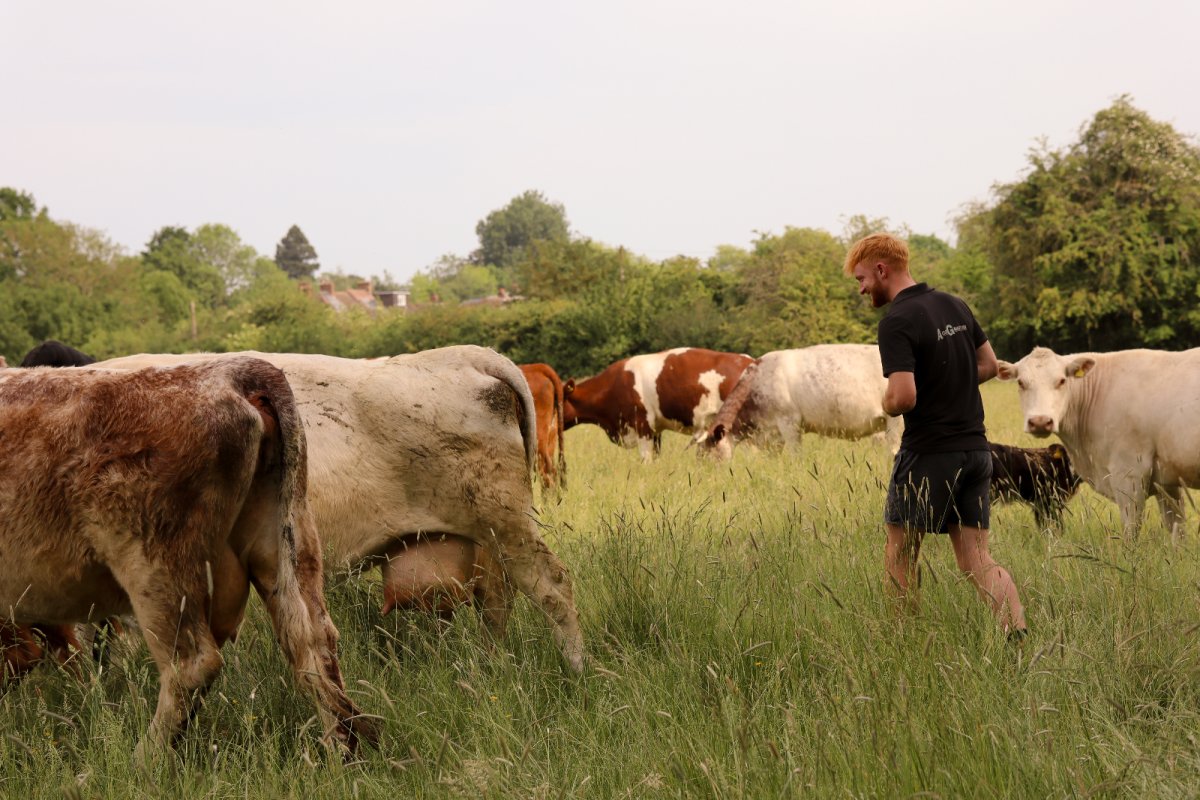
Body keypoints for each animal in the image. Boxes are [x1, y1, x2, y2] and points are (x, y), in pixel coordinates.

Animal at [0, 359, 376, 759]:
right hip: (285, 541)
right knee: (312, 642)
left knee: (194, 663)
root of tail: (232, 371)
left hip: (156, 566)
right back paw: (343, 752)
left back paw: (146, 760)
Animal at [98, 347, 586, 673]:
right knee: (497, 603)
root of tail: (462, 356)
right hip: (487, 537)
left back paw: (577, 669)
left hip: (508, 525)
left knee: (554, 587)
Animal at [997, 346, 1200, 542]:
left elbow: (1131, 531)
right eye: (1020, 382)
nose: (1040, 421)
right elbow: (1176, 529)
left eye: (1062, 380)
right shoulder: (1166, 479)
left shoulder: (1129, 472)